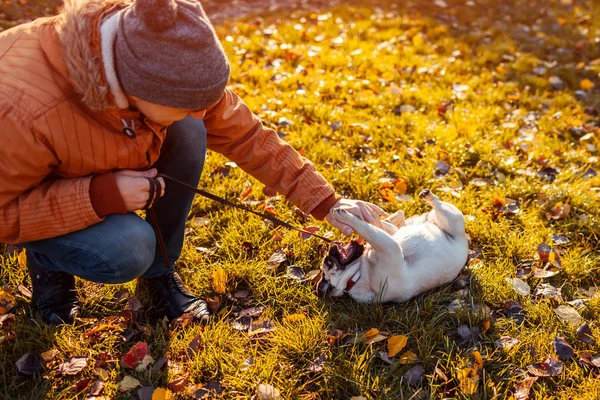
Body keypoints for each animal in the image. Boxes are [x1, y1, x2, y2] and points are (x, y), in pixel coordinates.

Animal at [322, 189, 472, 302]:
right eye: (328, 261)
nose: (332, 246)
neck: (358, 276)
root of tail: (465, 240)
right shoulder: (389, 246)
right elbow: (363, 227)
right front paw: (345, 217)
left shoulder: (386, 242)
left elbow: (367, 226)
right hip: (452, 218)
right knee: (437, 204)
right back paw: (428, 196)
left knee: (400, 219)